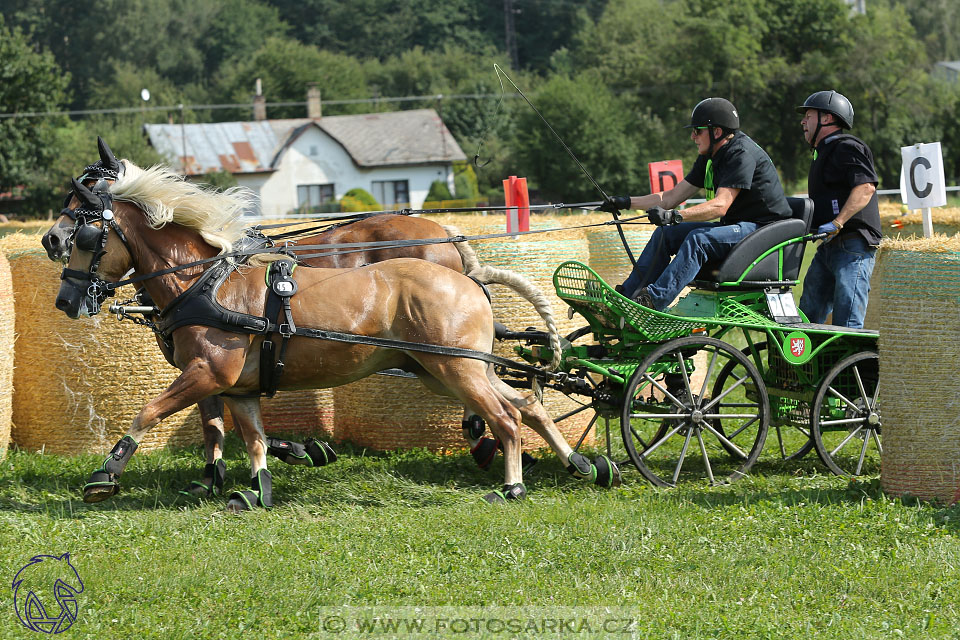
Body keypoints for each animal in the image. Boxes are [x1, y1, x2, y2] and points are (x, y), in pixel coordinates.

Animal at [56, 160, 620, 510]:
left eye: (84, 233)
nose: (63, 299)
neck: (203, 281)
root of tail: (467, 275)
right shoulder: (236, 387)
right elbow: (250, 438)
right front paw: (255, 490)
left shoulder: (206, 373)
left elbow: (150, 412)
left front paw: (106, 476)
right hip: (443, 368)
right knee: (527, 405)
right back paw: (580, 464)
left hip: (455, 368)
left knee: (506, 417)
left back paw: (512, 486)